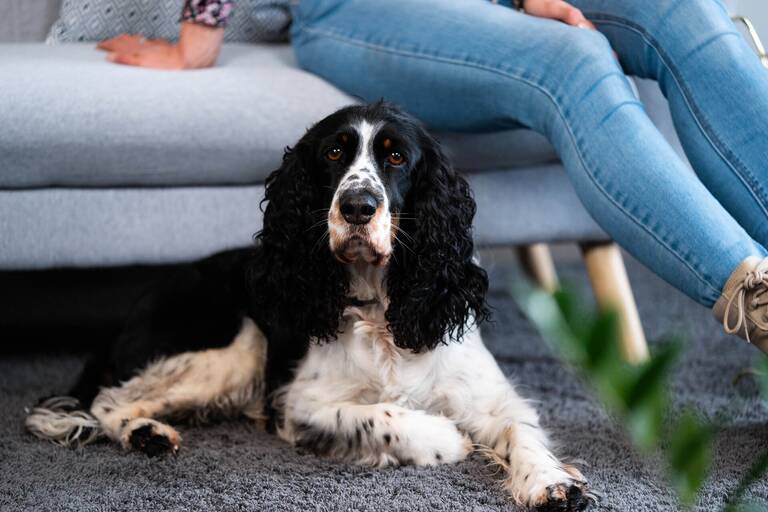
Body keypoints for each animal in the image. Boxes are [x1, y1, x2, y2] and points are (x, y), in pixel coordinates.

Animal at [22, 102, 588, 510]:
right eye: (334, 154)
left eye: (396, 157)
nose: (357, 207)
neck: (381, 310)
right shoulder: (300, 404)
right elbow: (385, 415)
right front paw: (443, 438)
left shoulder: (490, 397)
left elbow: (521, 430)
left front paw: (552, 483)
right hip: (234, 347)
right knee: (109, 398)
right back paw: (147, 434)